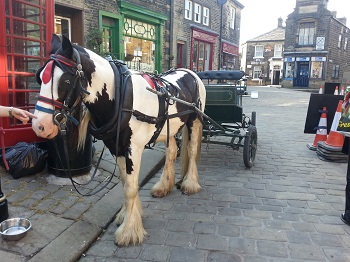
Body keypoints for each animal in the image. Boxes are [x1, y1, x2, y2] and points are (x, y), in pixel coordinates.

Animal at [31, 34, 206, 246]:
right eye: (39, 76)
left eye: (65, 80)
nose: (39, 125)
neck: (120, 95)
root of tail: (189, 72)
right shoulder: (116, 148)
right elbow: (124, 182)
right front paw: (126, 215)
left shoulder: (133, 148)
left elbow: (130, 187)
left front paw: (129, 231)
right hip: (170, 128)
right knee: (172, 153)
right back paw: (164, 186)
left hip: (194, 120)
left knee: (191, 150)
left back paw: (190, 184)